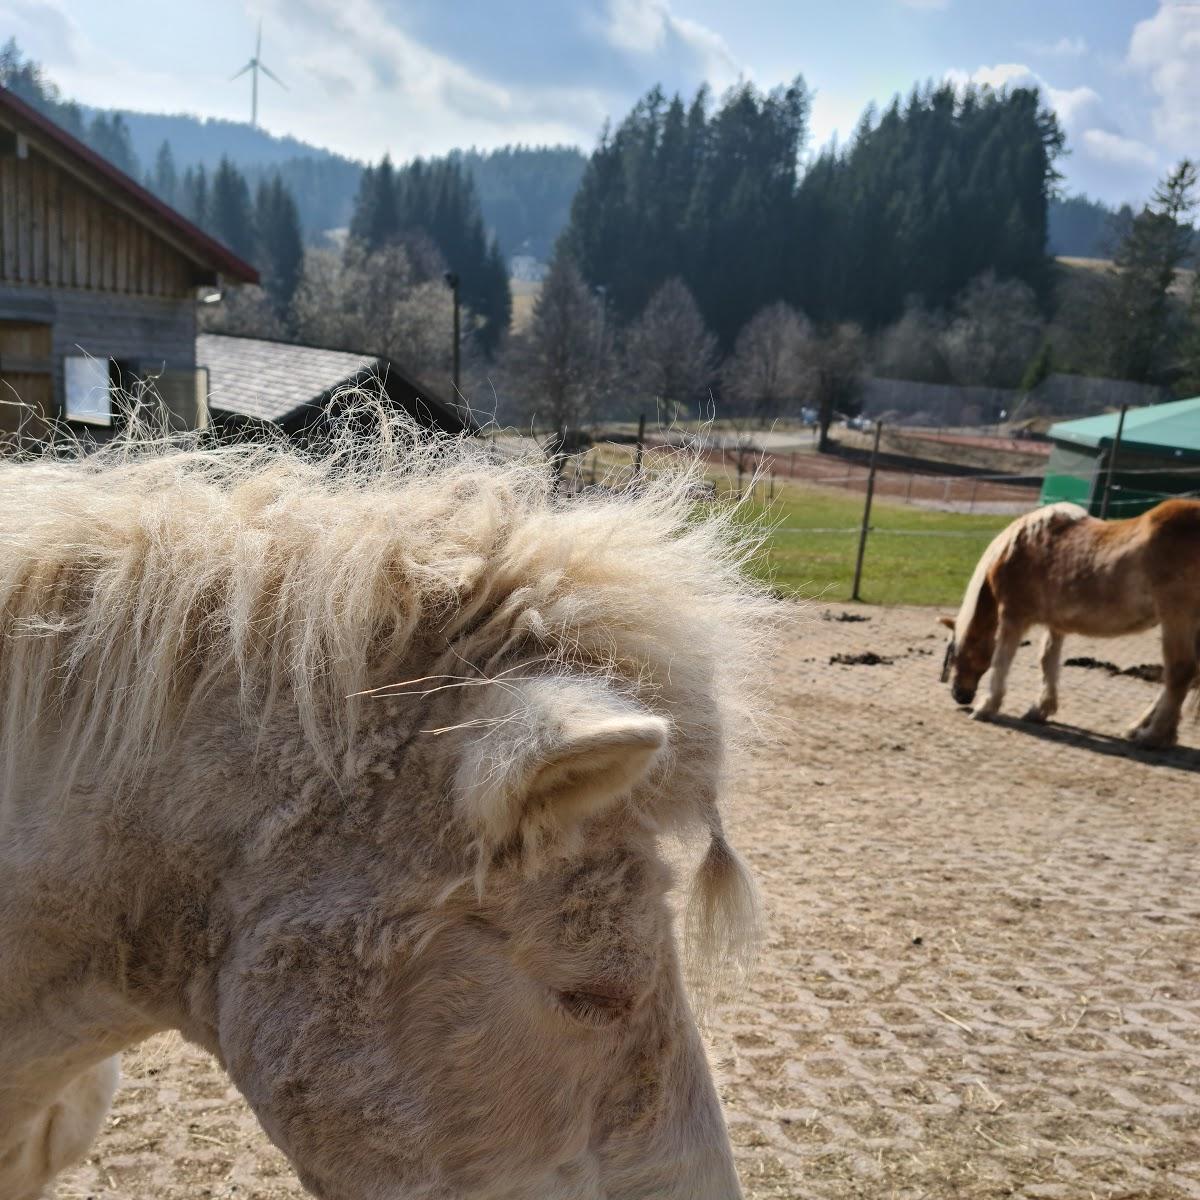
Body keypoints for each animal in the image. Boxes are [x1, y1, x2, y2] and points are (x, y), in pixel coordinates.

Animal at [936, 494, 1200, 739]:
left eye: (952, 651)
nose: (960, 695)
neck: (1019, 548)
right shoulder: (1056, 624)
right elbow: (1047, 660)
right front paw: (1041, 708)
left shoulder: (1013, 616)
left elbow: (1001, 660)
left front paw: (987, 706)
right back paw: (1138, 728)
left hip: (1176, 618)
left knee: (1180, 672)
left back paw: (1153, 734)